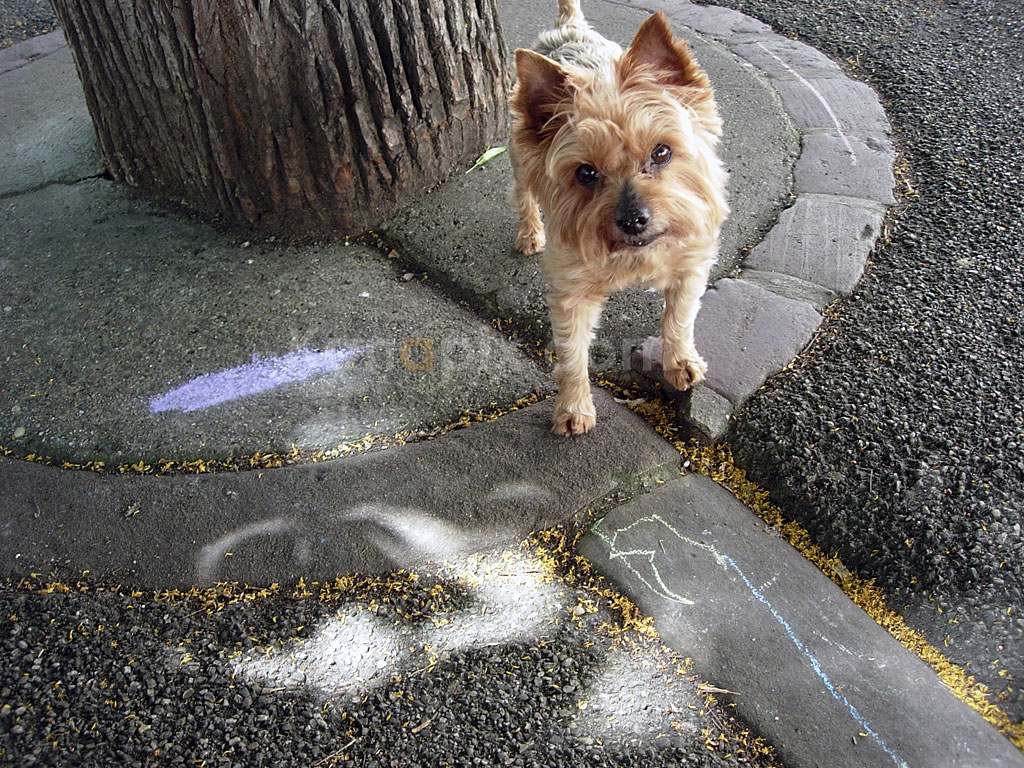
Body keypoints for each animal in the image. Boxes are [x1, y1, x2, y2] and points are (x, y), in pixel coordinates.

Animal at [510, 0, 728, 435]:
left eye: (661, 152)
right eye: (585, 173)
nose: (632, 220)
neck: (633, 255)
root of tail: (568, 28)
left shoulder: (691, 260)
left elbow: (679, 318)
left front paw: (679, 362)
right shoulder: (571, 288)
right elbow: (572, 352)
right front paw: (573, 407)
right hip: (521, 151)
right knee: (523, 191)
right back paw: (529, 233)